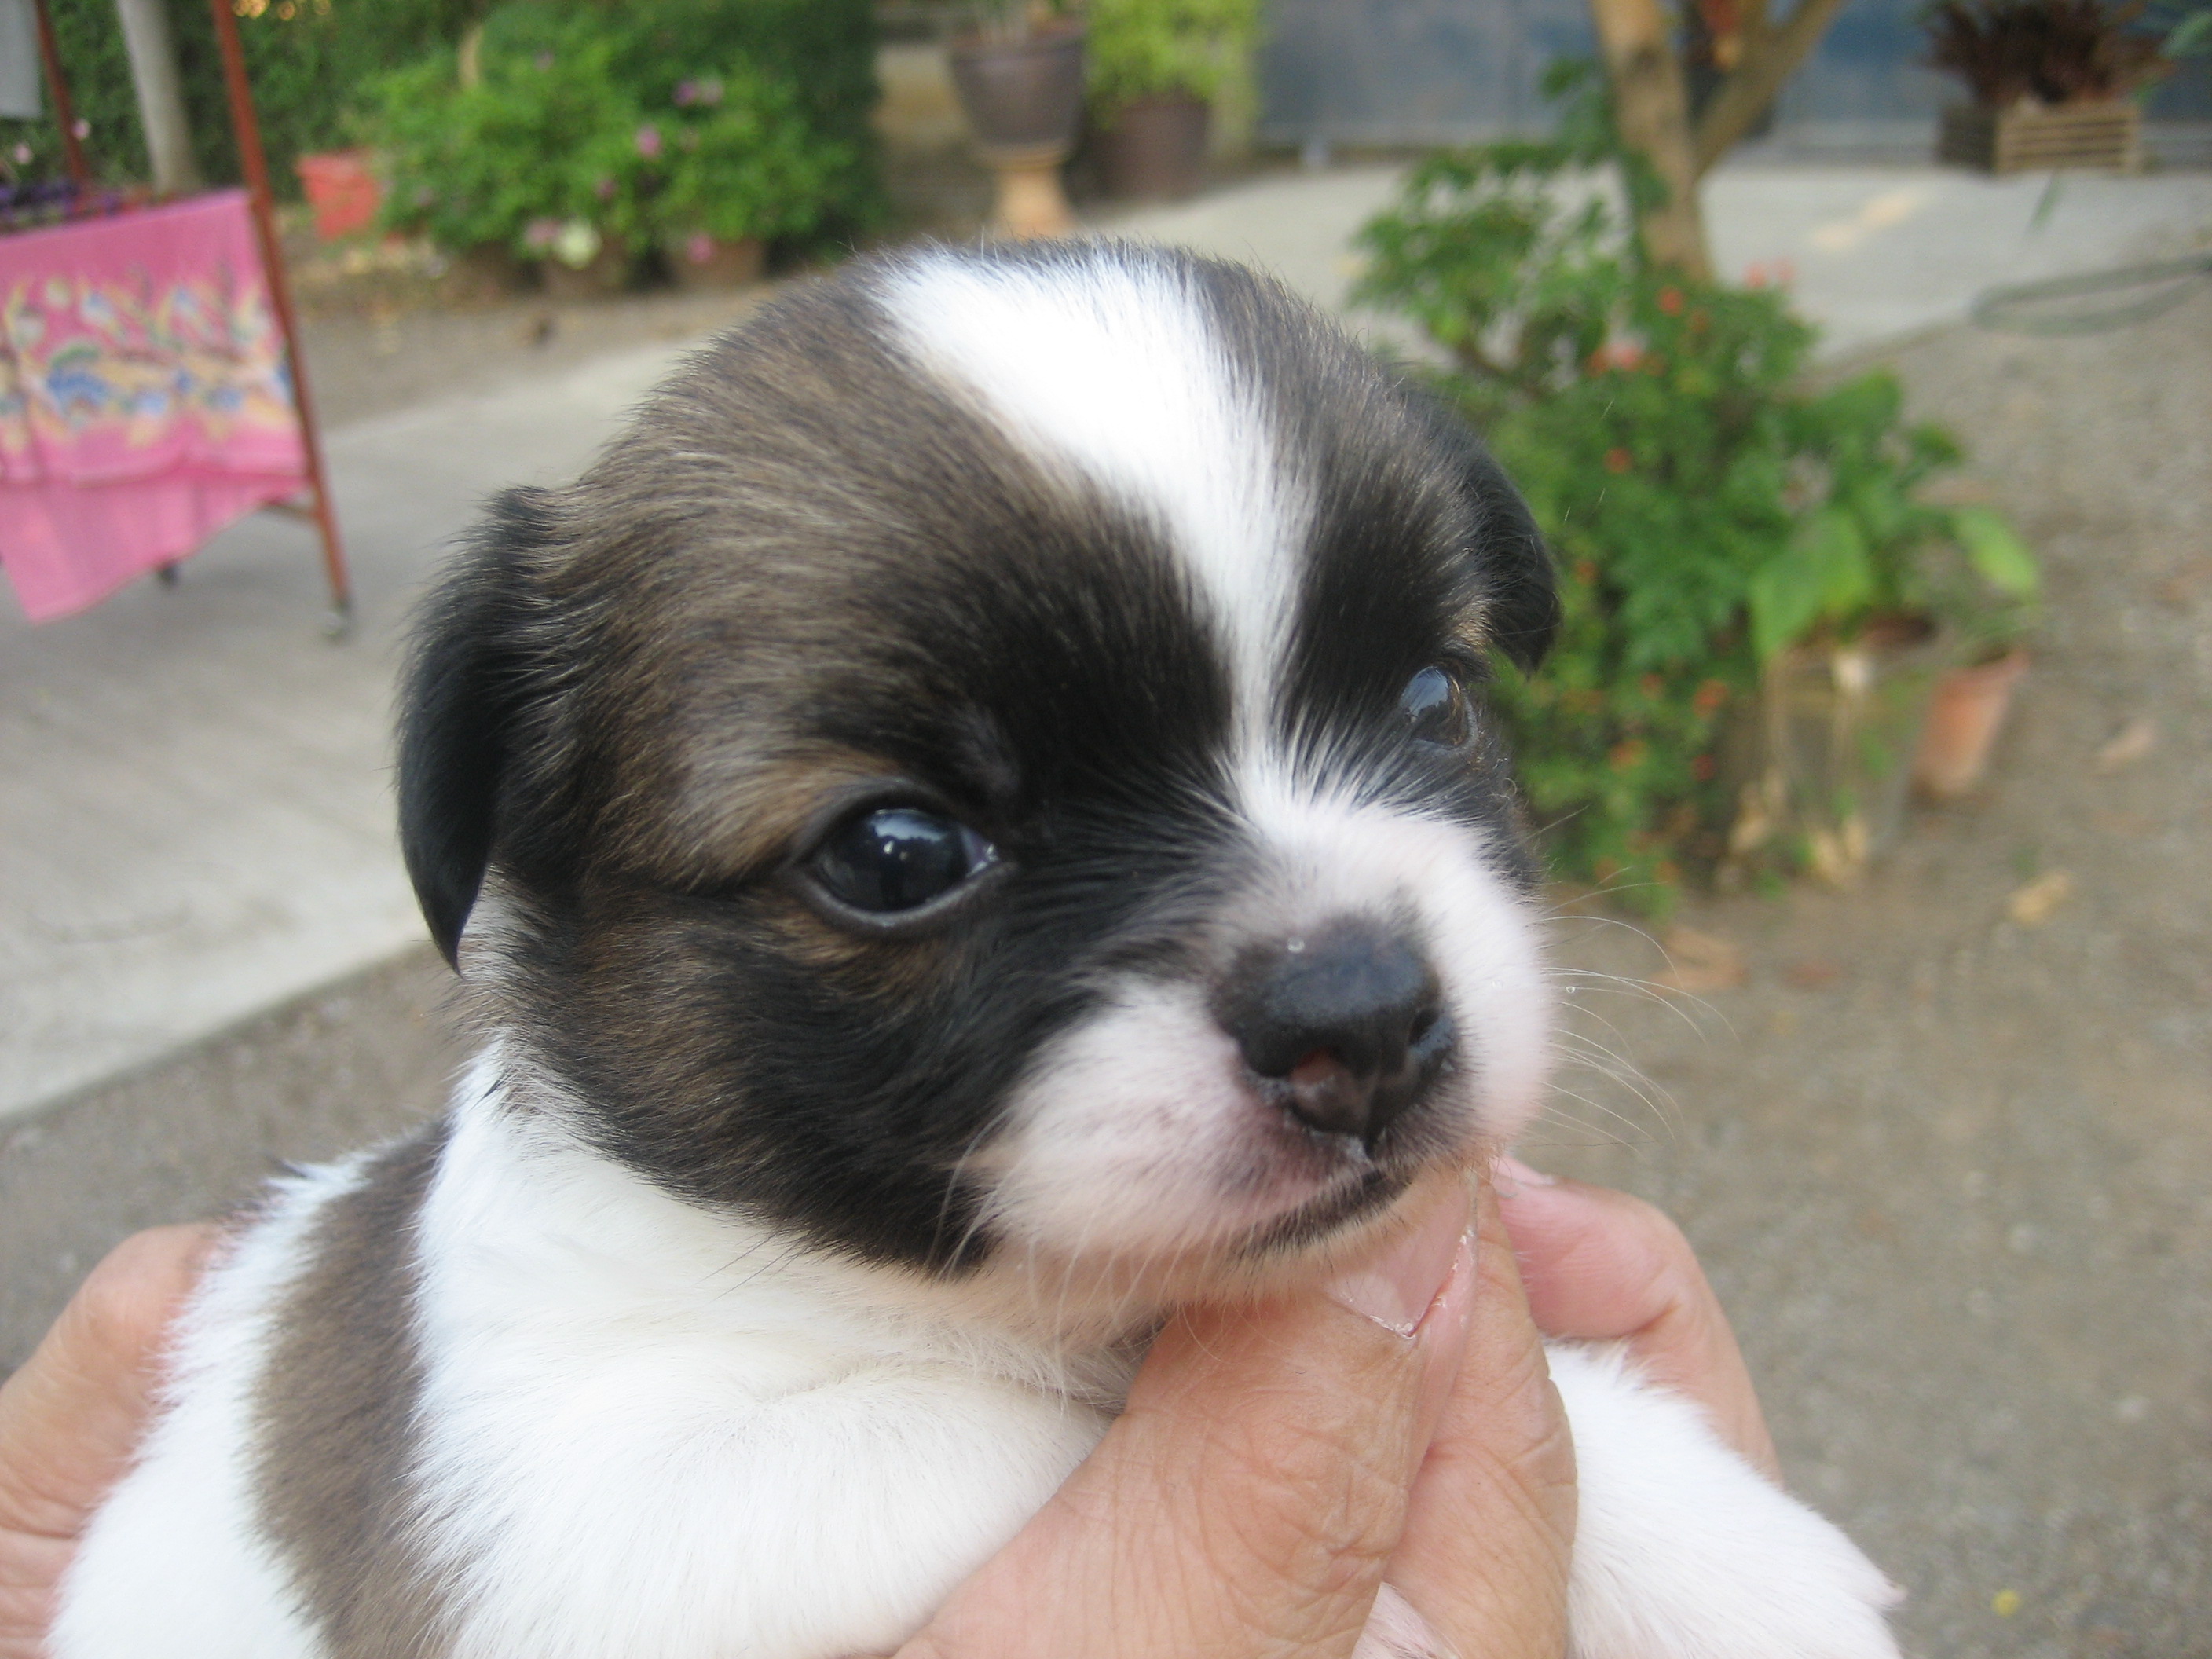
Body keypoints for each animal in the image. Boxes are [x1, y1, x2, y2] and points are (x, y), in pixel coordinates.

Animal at [55, 241, 1901, 1658]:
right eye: (896, 853)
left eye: (1435, 700)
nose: (1364, 1014)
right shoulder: (580, 1522)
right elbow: (995, 1426)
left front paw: (1722, 1549)